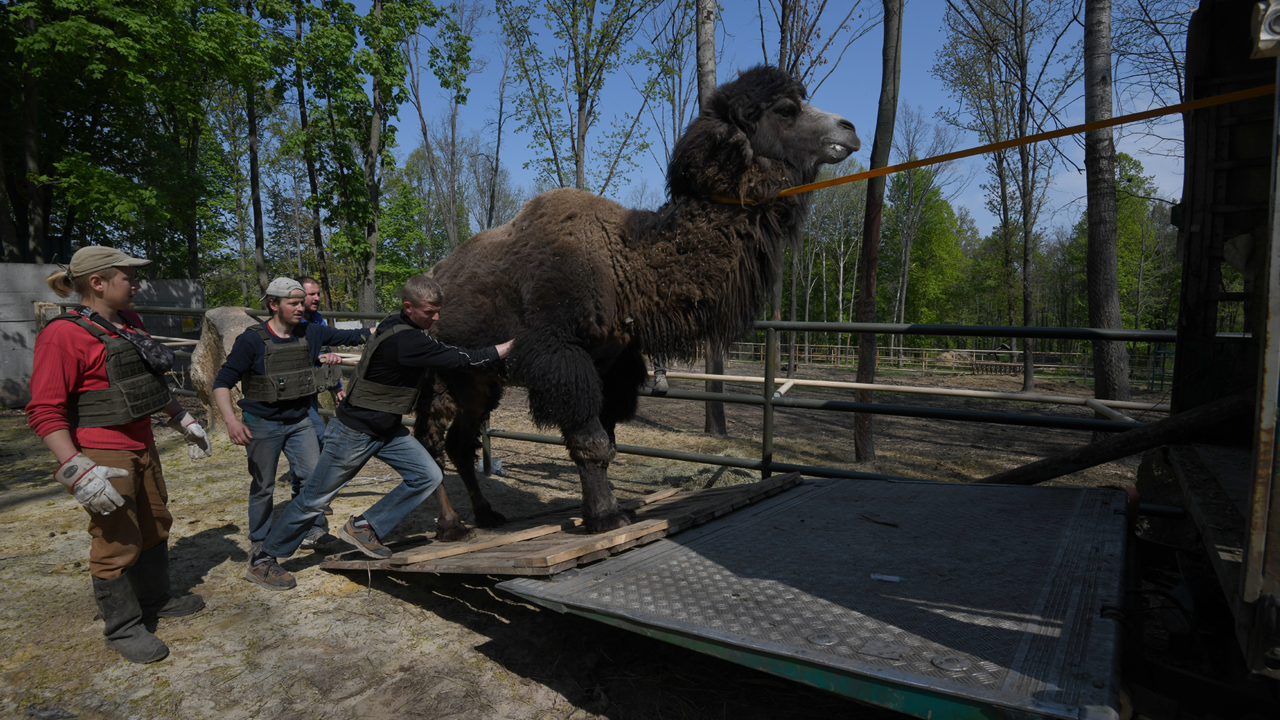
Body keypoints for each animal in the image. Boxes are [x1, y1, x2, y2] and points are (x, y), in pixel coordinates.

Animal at [419, 65, 860, 532]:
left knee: (458, 441)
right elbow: (591, 441)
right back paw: (449, 524)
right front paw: (606, 518)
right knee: (429, 440)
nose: (849, 130)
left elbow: (609, 442)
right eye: (786, 109)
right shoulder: (561, 356)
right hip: (436, 373)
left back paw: (486, 514)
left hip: (478, 381)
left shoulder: (616, 365)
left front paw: (608, 510)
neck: (624, 264)